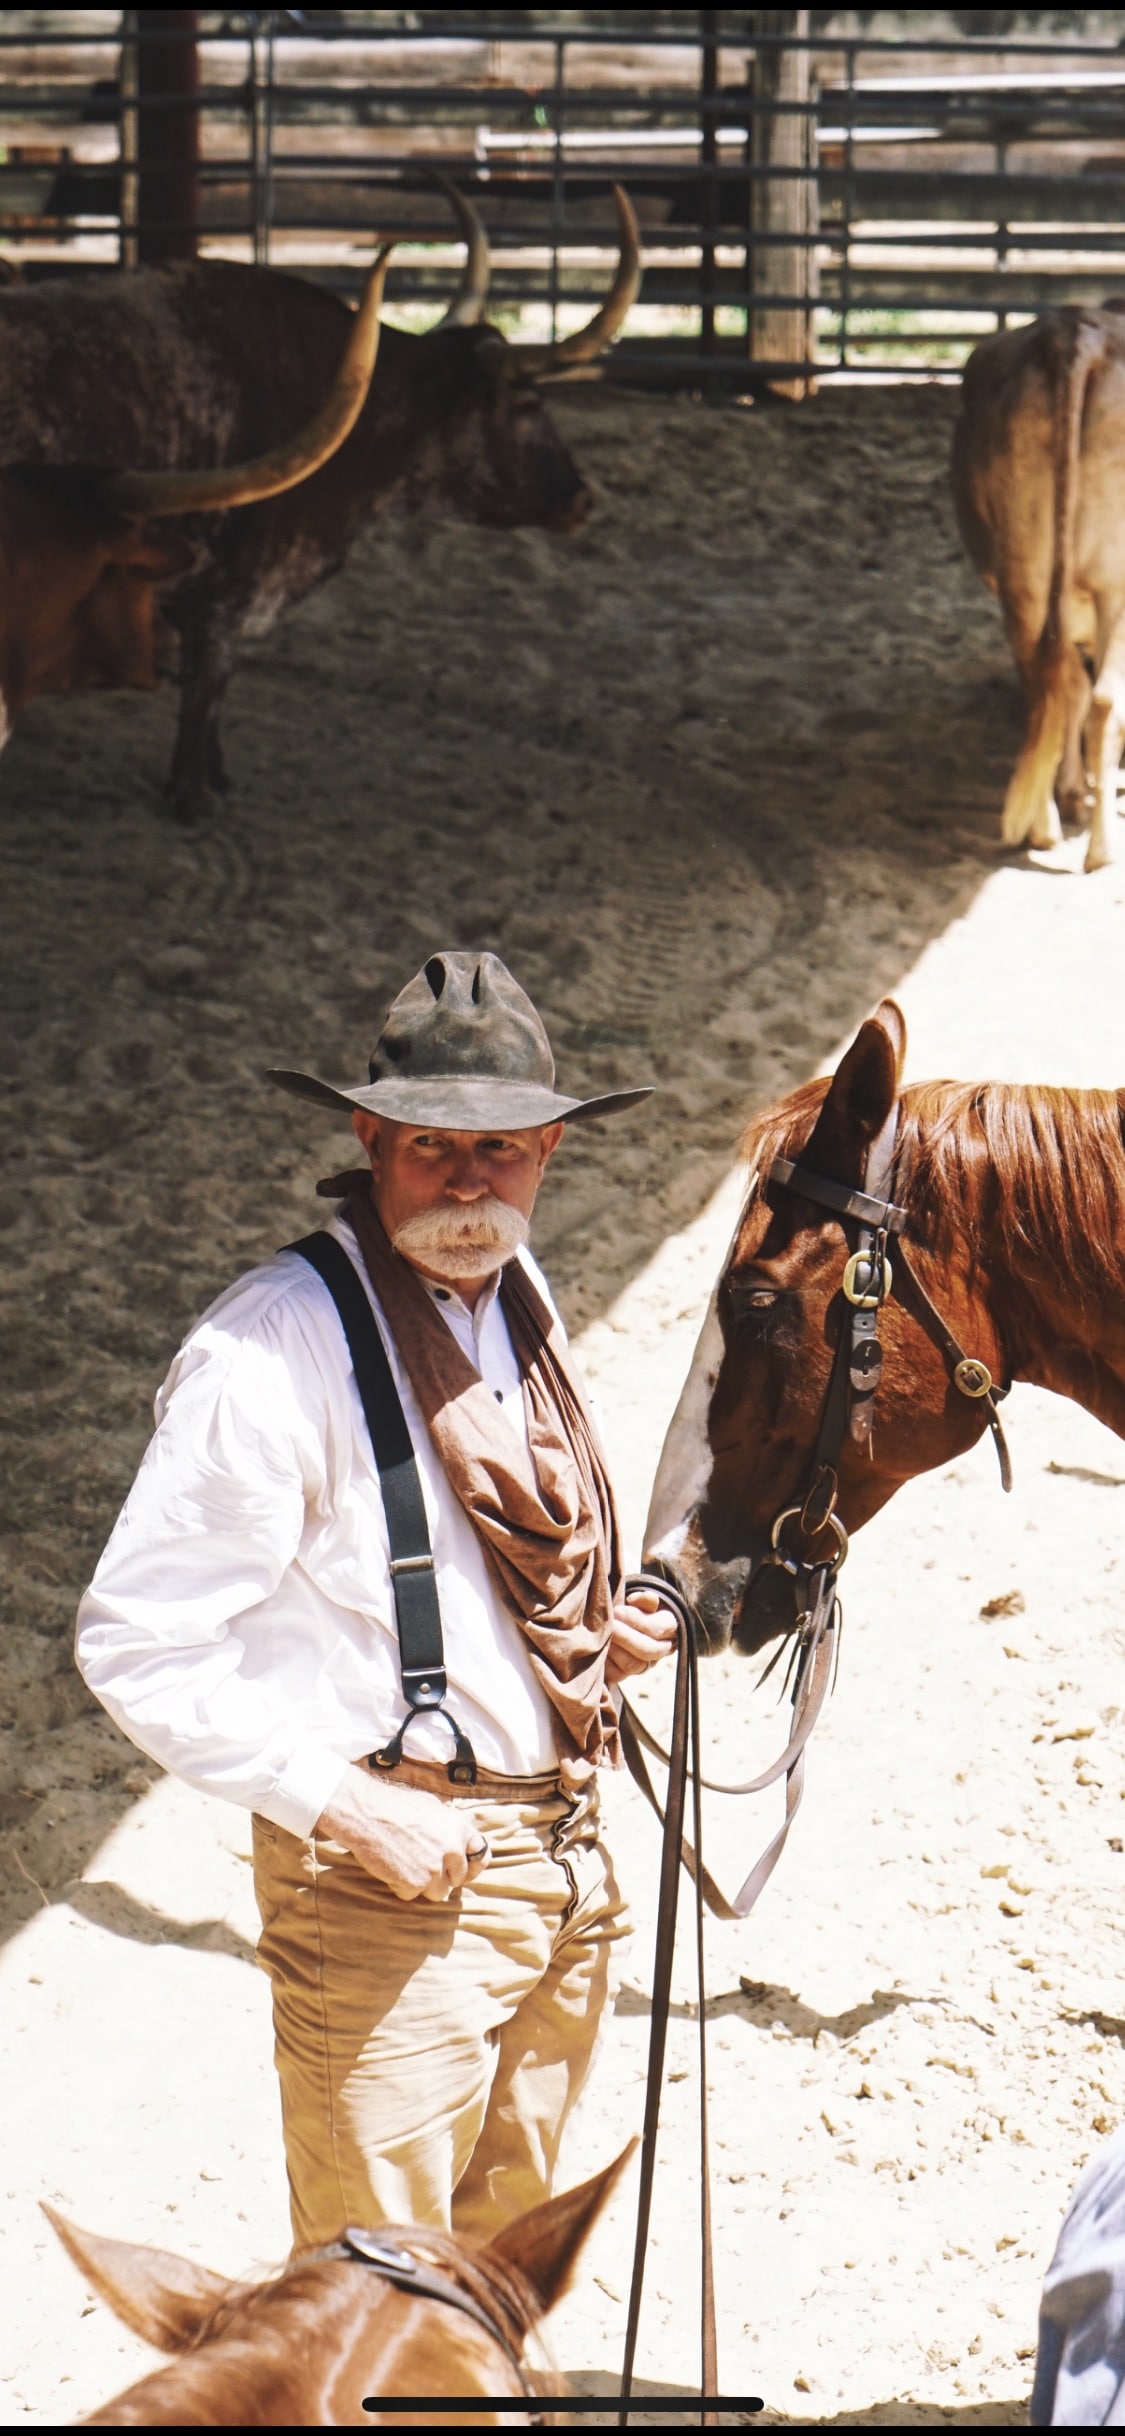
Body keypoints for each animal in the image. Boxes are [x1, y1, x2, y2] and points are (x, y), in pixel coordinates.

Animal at [954, 303, 1125, 872]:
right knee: (1100, 702)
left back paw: (1043, 825)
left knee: (1049, 688)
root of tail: (1076, 329)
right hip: (1114, 585)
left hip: (1025, 581)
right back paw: (1099, 850)